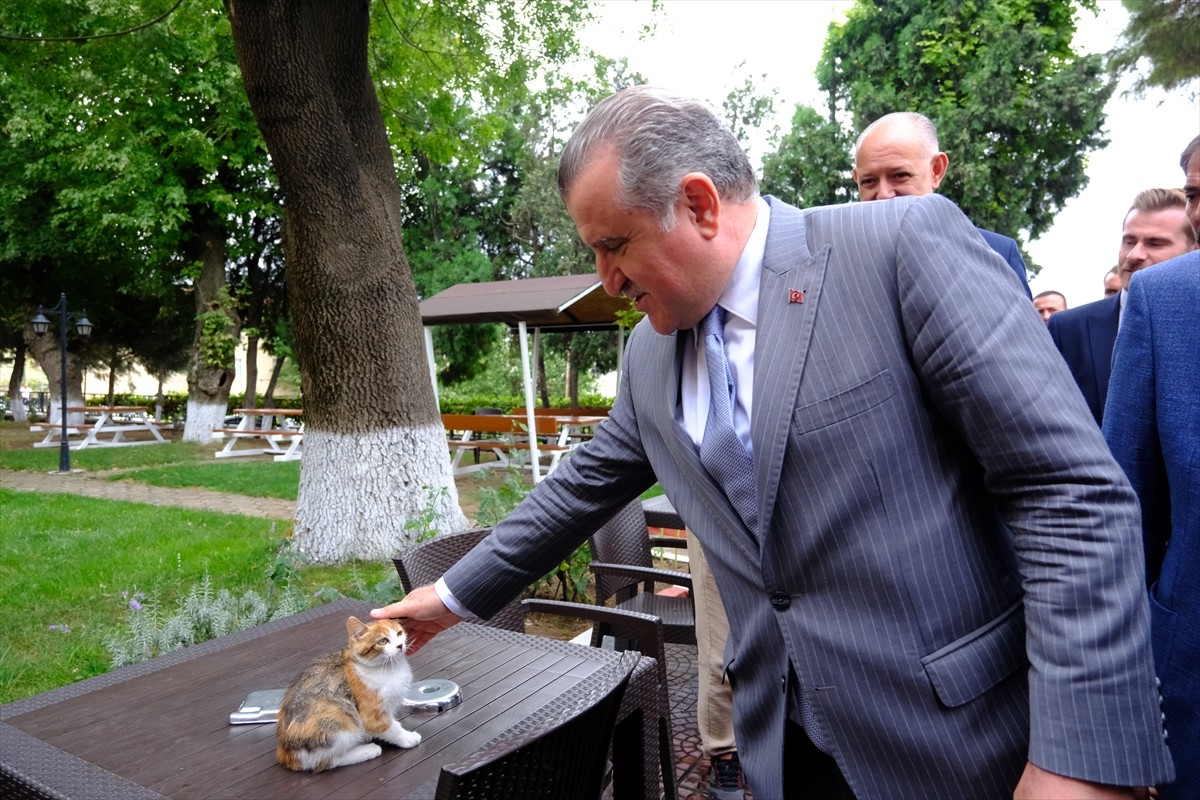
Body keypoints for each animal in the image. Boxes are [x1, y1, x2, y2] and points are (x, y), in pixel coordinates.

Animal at [274, 618, 422, 772]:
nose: (400, 645)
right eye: (383, 641)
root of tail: (285, 751)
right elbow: (390, 727)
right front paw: (408, 738)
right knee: (326, 761)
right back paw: (366, 751)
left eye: (399, 633)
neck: (389, 668)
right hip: (337, 717)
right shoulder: (373, 715)